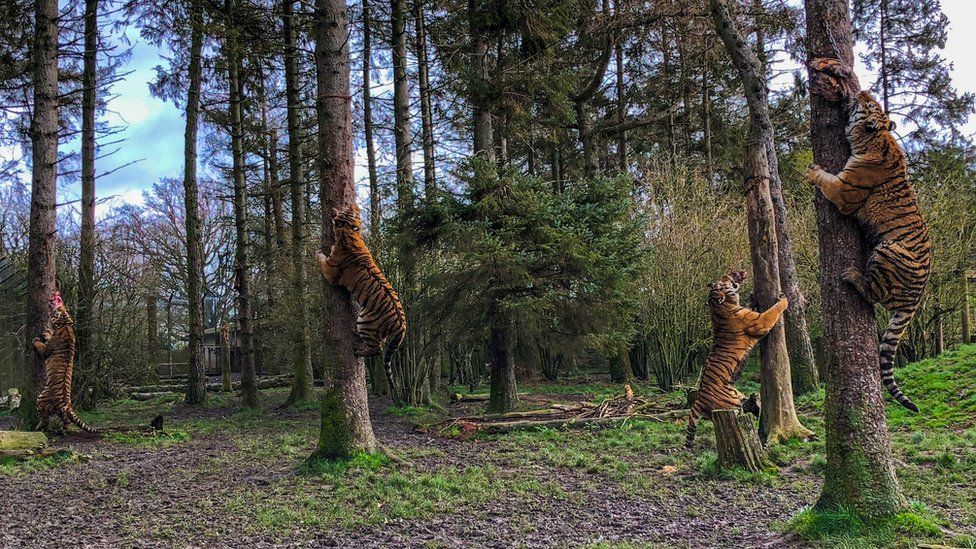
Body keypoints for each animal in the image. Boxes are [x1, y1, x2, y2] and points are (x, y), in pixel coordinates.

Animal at [32, 290, 98, 435]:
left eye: (60, 310)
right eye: (63, 309)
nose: (60, 306)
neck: (65, 324)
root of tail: (67, 404)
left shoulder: (46, 350)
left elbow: (41, 344)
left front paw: (39, 336)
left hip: (41, 399)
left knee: (45, 419)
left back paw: (38, 427)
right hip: (61, 411)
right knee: (65, 419)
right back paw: (63, 430)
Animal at [315, 203, 406, 398]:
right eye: (352, 211)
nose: (353, 205)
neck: (349, 233)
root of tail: (402, 326)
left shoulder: (331, 272)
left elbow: (323, 261)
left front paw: (317, 252)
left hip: (365, 322)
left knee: (376, 349)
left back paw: (358, 350)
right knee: (380, 345)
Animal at [685, 270, 786, 448]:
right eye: (723, 281)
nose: (730, 272)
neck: (719, 306)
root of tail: (697, 401)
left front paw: (753, 297)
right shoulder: (761, 322)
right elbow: (773, 310)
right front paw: (784, 299)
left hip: (736, 394)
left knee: (748, 404)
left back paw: (756, 402)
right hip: (731, 404)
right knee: (744, 412)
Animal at [805, 90, 931, 413]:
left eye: (869, 104)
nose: (860, 91)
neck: (876, 138)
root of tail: (917, 298)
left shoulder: (844, 190)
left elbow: (826, 180)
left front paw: (813, 170)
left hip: (888, 249)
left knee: (872, 293)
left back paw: (851, 275)